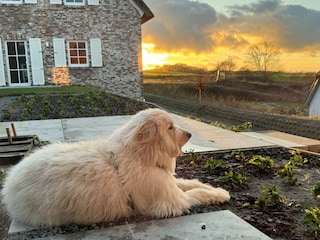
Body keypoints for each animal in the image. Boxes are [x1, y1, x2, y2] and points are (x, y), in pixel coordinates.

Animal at [1, 109, 229, 227]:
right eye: (170, 127)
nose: (190, 134)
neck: (140, 154)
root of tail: (10, 183)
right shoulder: (171, 201)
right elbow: (197, 193)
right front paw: (218, 194)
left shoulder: (168, 183)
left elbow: (191, 183)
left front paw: (216, 189)